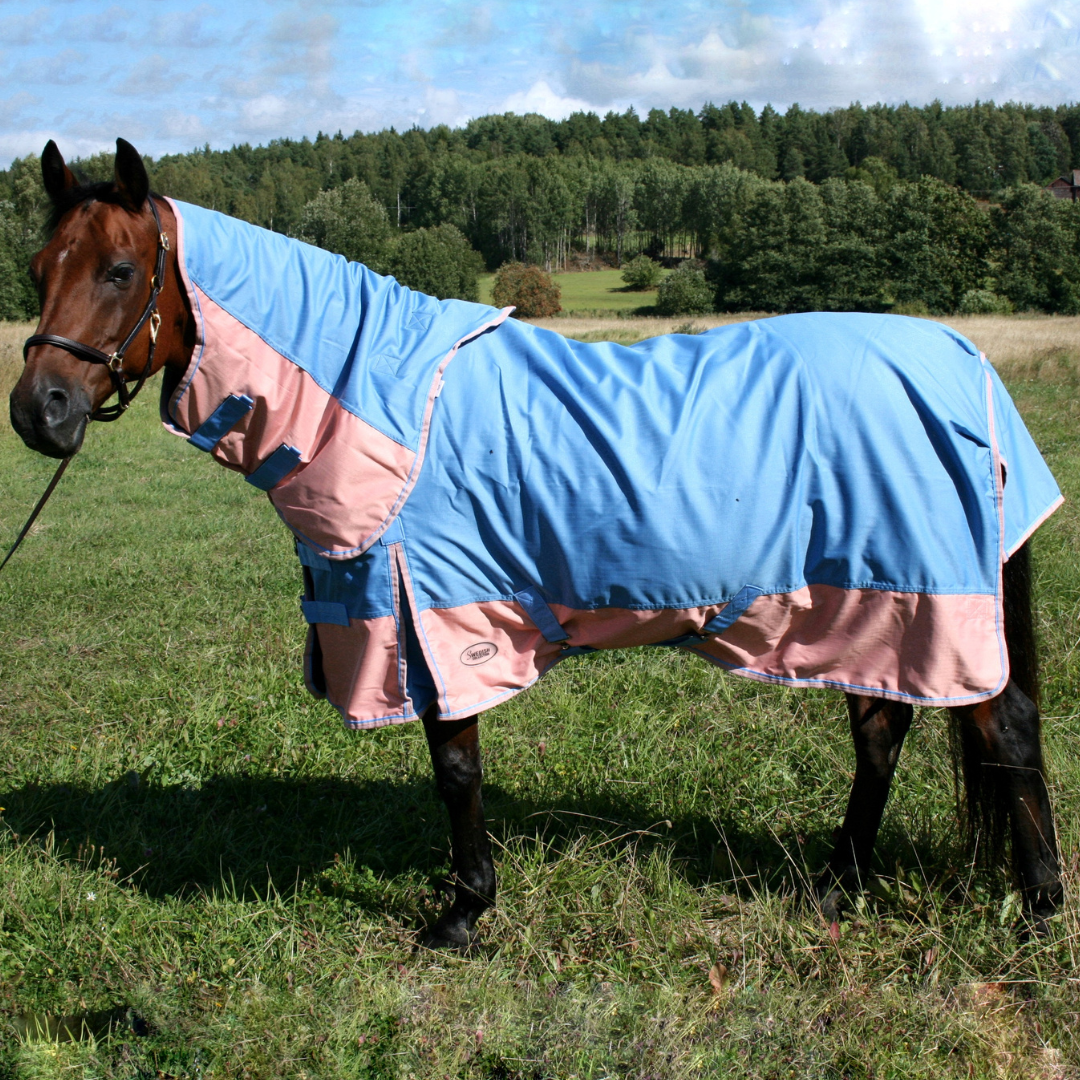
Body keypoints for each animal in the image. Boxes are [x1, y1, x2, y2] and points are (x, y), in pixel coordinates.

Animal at [9, 139, 1063, 948]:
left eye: (118, 271)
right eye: (38, 271)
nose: (39, 410)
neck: (390, 405)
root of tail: (963, 357)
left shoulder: (433, 619)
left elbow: (455, 770)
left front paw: (462, 914)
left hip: (928, 596)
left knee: (1003, 730)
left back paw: (1041, 910)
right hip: (867, 604)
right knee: (883, 730)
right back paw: (838, 887)